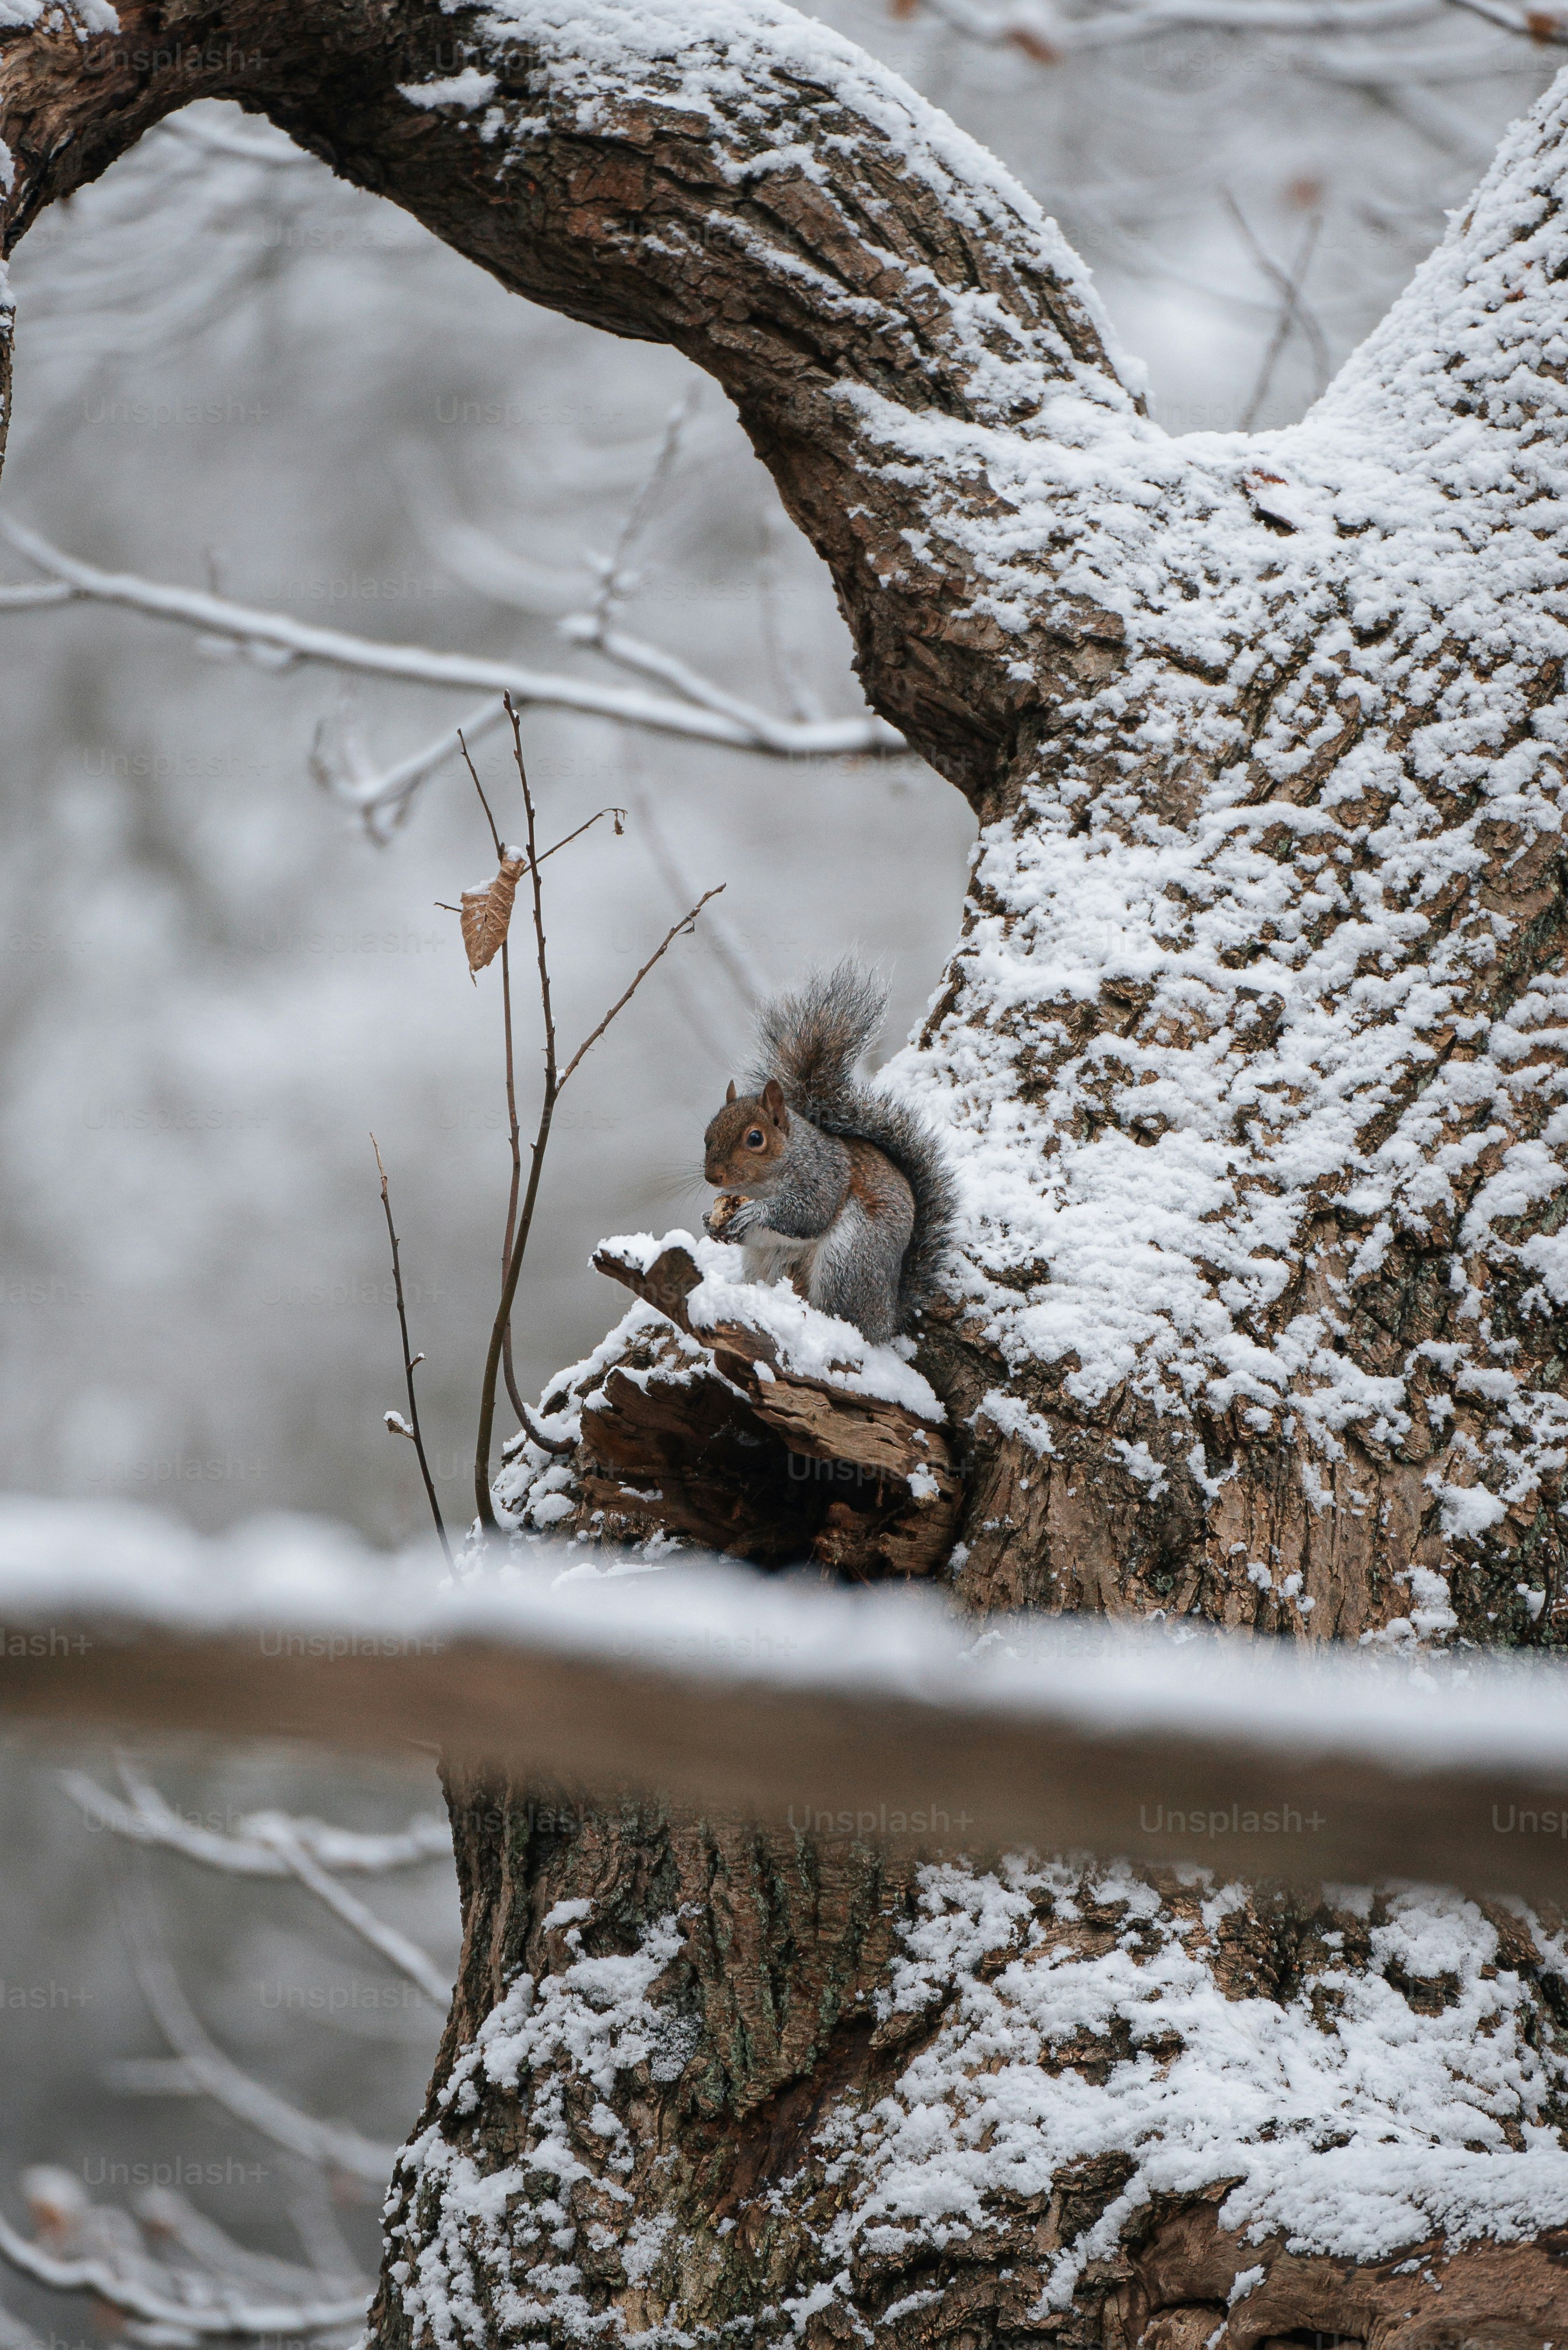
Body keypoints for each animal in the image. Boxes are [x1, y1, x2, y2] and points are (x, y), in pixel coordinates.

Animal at [701, 961, 955, 1346]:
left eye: (755, 1138)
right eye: (707, 1134)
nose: (712, 1176)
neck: (763, 1182)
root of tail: (887, 1318)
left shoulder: (823, 1175)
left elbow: (808, 1212)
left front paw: (756, 1213)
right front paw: (709, 1221)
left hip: (848, 1260)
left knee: (846, 1315)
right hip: (767, 1264)